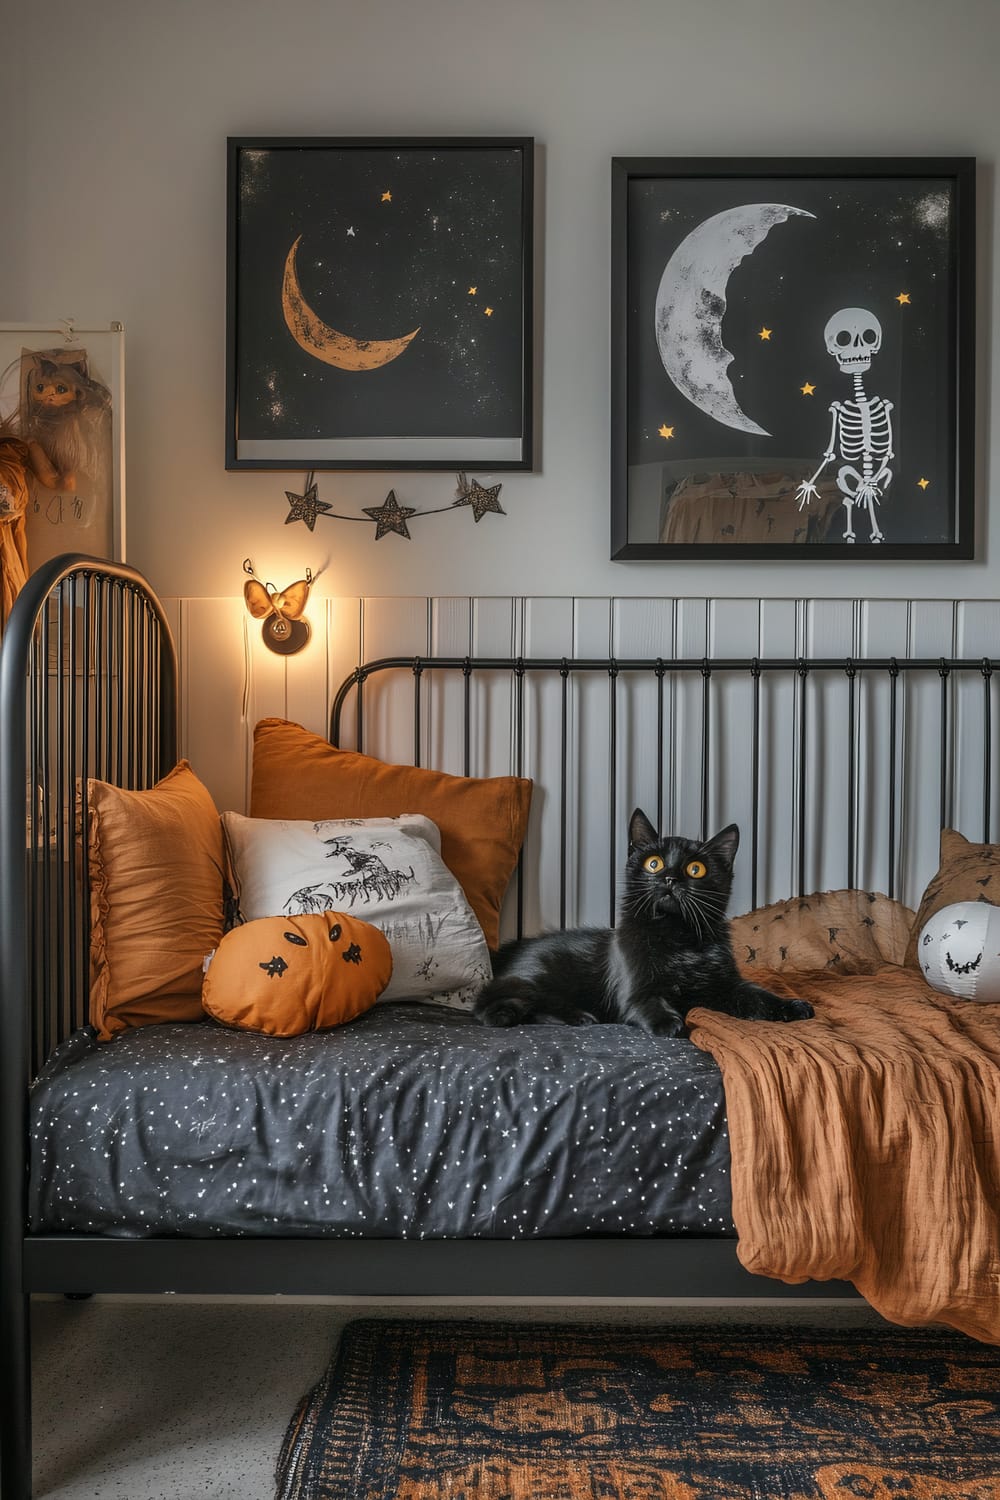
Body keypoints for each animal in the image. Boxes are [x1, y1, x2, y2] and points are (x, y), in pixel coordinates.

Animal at [476, 804, 815, 1038]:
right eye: (654, 863)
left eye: (696, 869)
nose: (669, 878)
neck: (679, 938)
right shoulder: (635, 989)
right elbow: (647, 1002)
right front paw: (670, 1023)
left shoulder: (727, 986)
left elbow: (758, 994)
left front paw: (792, 1005)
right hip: (533, 979)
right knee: (489, 1009)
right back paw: (578, 1017)